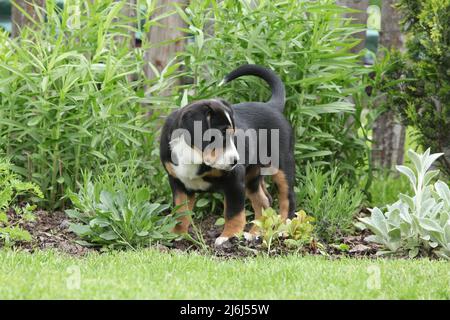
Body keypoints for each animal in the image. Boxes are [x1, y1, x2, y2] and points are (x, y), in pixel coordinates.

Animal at [161, 63, 296, 246]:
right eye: (221, 135)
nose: (236, 160)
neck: (192, 153)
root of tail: (271, 106)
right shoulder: (178, 182)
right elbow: (180, 212)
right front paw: (177, 235)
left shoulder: (234, 179)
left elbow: (233, 212)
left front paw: (228, 236)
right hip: (252, 175)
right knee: (264, 200)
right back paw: (255, 233)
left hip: (280, 165)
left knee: (287, 198)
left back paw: (282, 230)